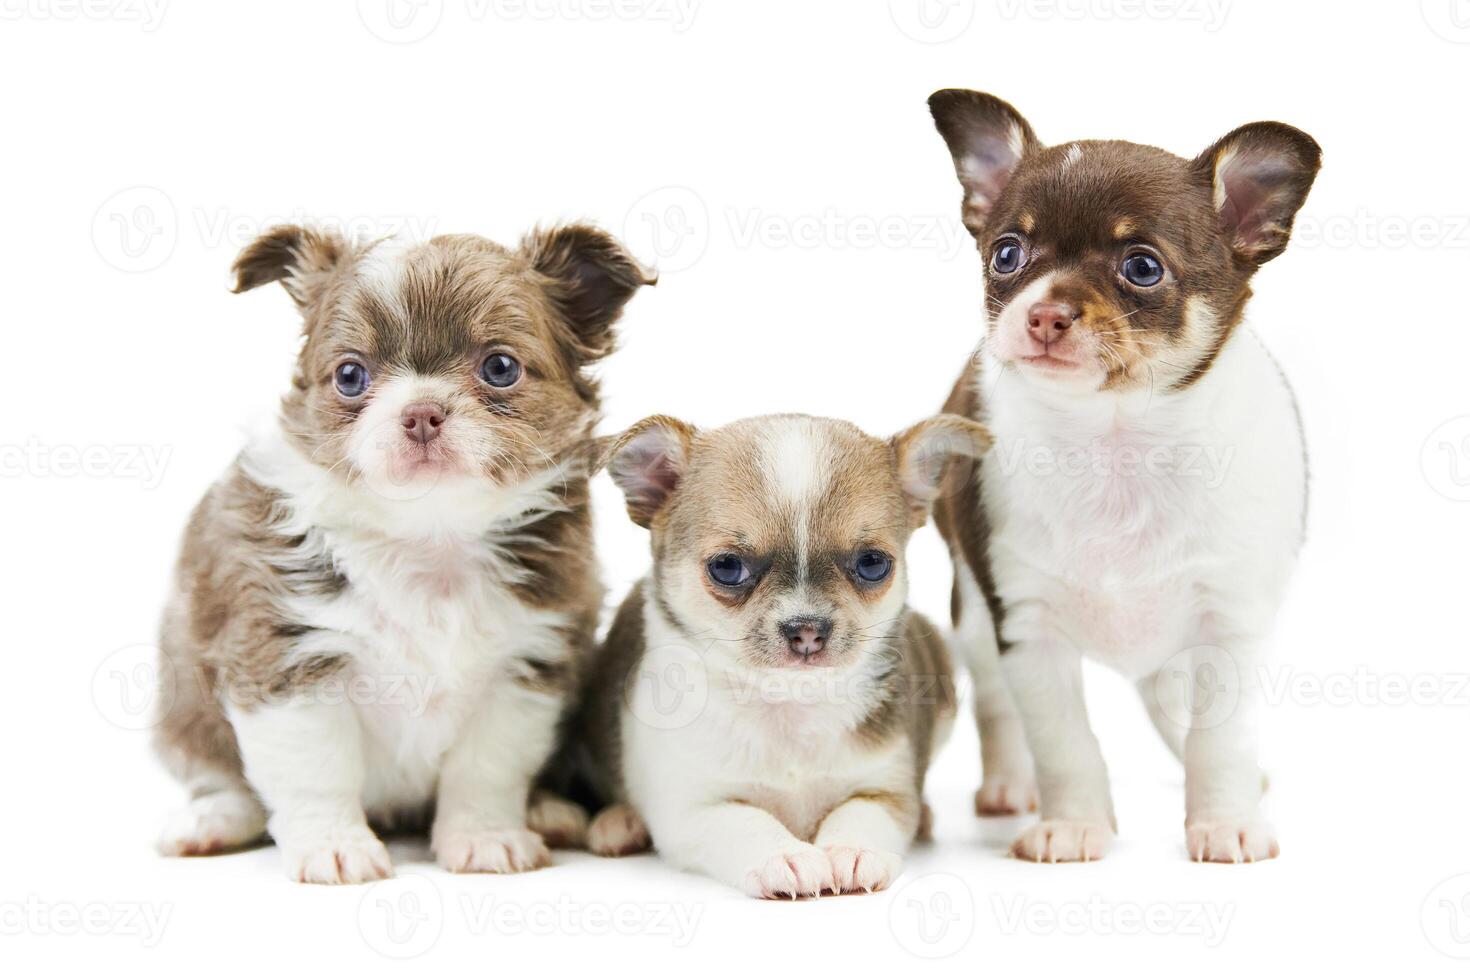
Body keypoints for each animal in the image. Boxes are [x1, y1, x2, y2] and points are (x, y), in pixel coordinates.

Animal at [153, 226, 649, 887]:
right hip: (184, 710)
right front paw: (332, 844)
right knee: (221, 777)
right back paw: (212, 821)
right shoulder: (285, 657)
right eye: (349, 376)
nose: (420, 412)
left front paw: (484, 836)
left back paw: (550, 811)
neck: (428, 538)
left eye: (500, 367)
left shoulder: (523, 667)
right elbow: (315, 769)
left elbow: (486, 768)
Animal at [546, 411, 993, 899]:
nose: (808, 630)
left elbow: (861, 812)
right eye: (726, 568)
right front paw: (784, 857)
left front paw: (851, 851)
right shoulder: (689, 808)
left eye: (873, 564)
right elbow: (743, 820)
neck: (788, 706)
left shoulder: (885, 789)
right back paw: (619, 823)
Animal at [929, 88, 1323, 863]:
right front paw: (1075, 825)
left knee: (1168, 701)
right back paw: (1007, 786)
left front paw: (1225, 822)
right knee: (995, 703)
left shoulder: (1229, 624)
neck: (1114, 443)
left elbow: (1219, 740)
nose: (1043, 312)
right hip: (973, 613)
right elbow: (1065, 742)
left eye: (1142, 267)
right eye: (1006, 255)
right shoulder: (1027, 630)